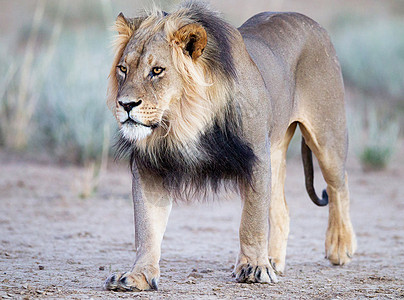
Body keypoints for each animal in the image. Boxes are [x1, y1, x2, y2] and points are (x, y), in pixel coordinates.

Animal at [103, 1, 356, 292]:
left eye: (157, 71)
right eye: (123, 69)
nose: (126, 104)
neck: (181, 122)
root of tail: (311, 22)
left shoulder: (256, 156)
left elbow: (252, 220)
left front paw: (255, 269)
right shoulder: (150, 167)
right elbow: (147, 227)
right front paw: (138, 276)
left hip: (327, 134)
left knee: (339, 184)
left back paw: (339, 247)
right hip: (276, 149)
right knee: (282, 209)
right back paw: (274, 260)